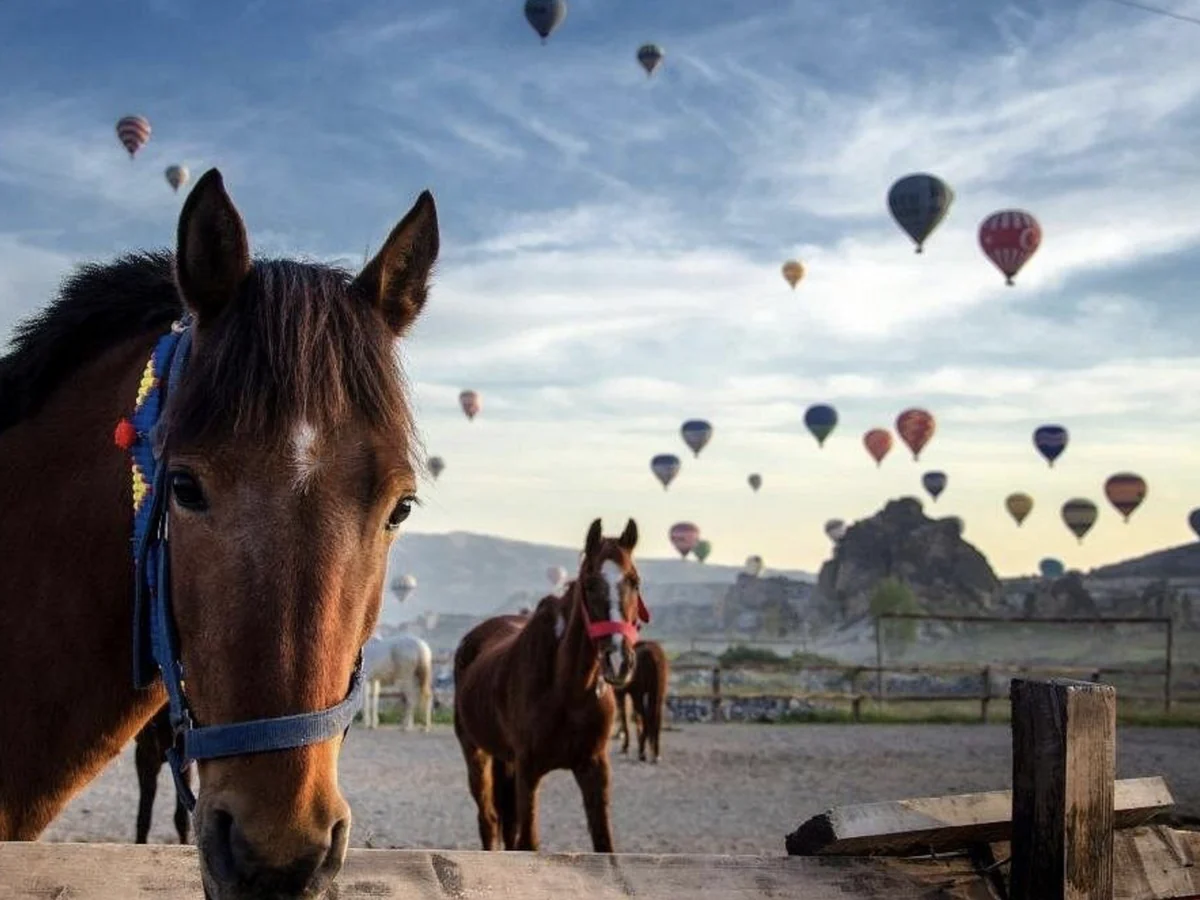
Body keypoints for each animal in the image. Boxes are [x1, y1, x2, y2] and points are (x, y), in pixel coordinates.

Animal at [452, 518, 650, 852]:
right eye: (590, 584)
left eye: (634, 581)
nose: (618, 661)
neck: (567, 691)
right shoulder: (529, 770)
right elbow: (528, 842)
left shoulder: (594, 768)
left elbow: (604, 844)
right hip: (476, 752)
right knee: (489, 821)